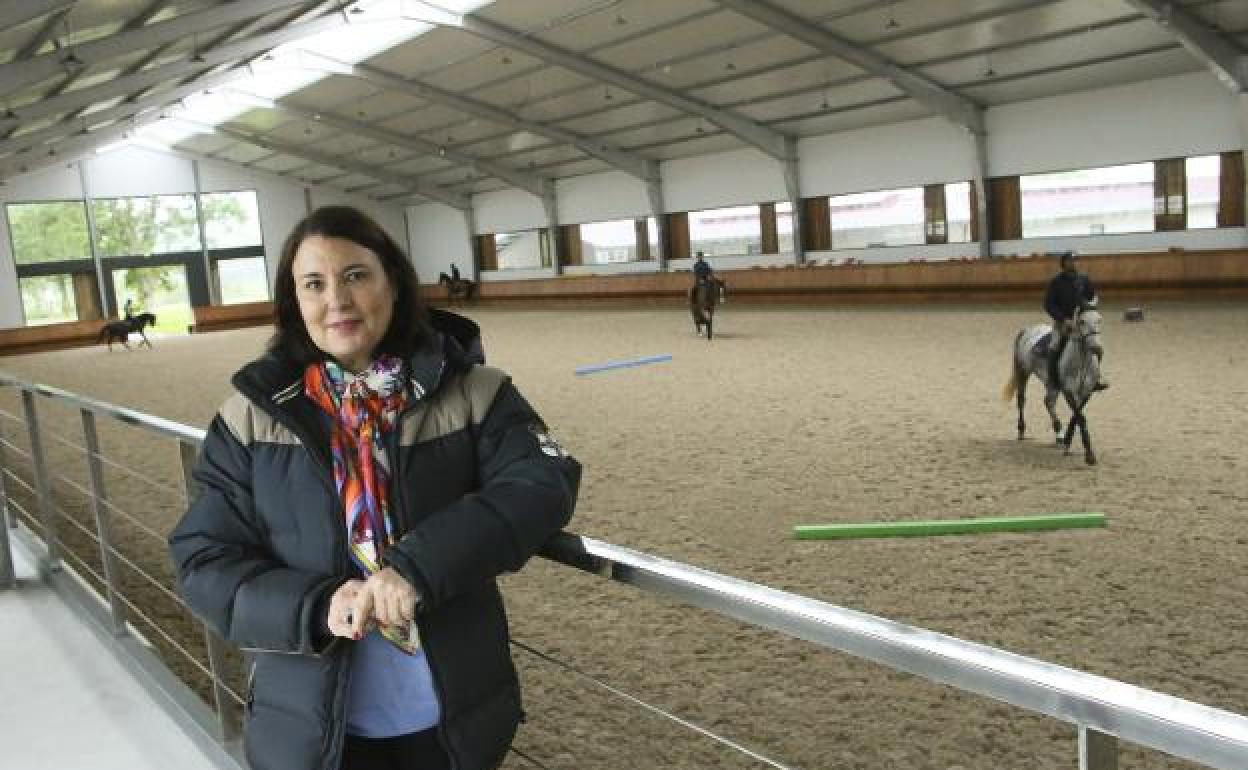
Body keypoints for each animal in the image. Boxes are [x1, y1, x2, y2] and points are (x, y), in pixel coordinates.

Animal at [998, 302, 1108, 461]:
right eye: (1081, 321)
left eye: (1099, 319)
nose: (1096, 347)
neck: (1081, 363)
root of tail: (1028, 329)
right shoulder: (1068, 391)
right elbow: (1081, 417)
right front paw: (1089, 455)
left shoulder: (1086, 392)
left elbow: (1076, 416)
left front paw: (1067, 441)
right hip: (1023, 372)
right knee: (1022, 400)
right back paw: (1022, 430)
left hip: (1051, 385)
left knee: (1048, 402)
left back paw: (1059, 435)